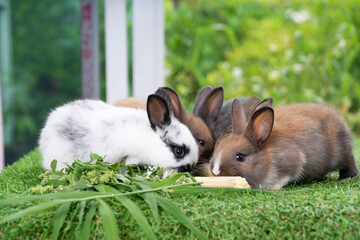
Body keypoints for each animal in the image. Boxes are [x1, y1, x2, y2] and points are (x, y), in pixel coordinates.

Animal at [210, 97, 358, 189]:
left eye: (240, 157)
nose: (216, 171)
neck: (267, 154)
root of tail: (337, 117)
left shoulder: (292, 162)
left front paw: (273, 188)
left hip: (341, 152)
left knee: (348, 160)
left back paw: (348, 177)